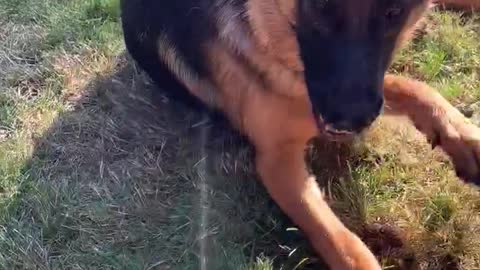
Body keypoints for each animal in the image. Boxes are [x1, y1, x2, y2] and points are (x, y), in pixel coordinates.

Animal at [121, 0, 480, 268]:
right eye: (320, 6)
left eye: (394, 11)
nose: (349, 123)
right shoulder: (277, 161)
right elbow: (343, 243)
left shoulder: (359, 91)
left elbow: (413, 85)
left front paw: (464, 136)